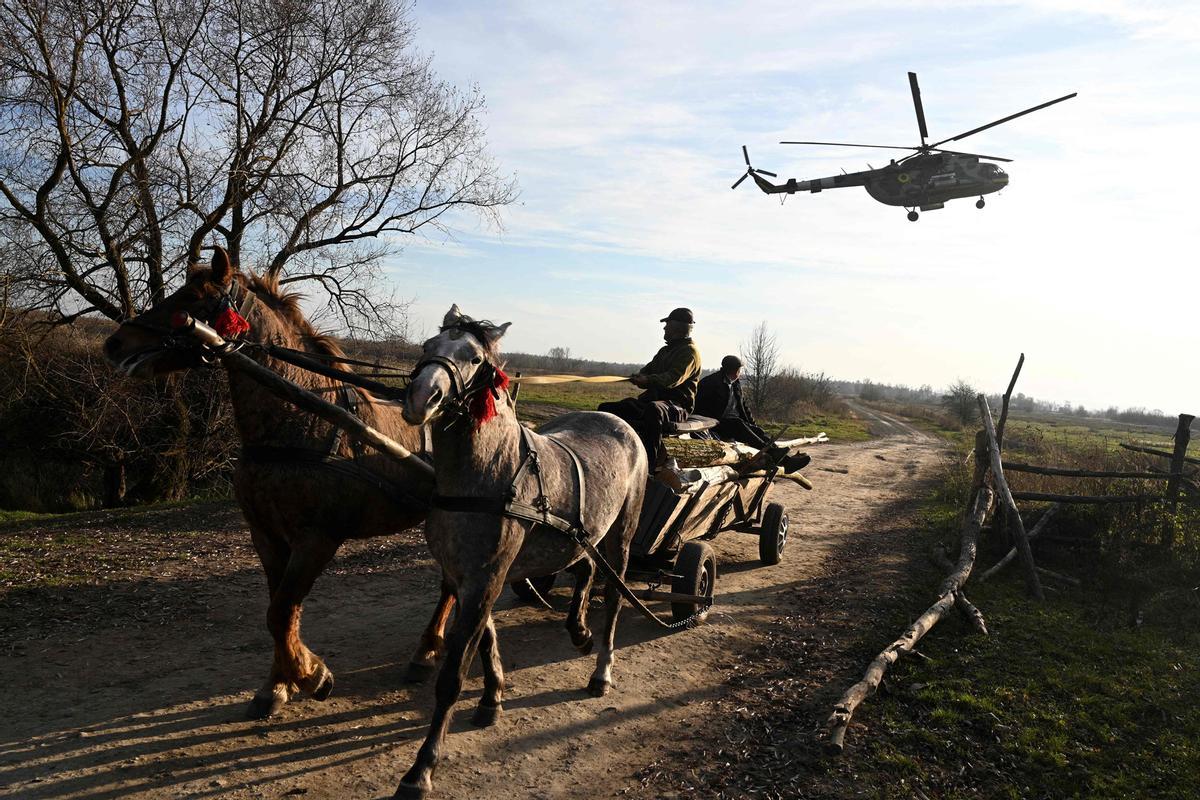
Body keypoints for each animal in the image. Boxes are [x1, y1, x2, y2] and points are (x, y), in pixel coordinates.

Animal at [102, 248, 457, 718]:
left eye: (193, 298)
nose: (115, 343)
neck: (302, 420)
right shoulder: (267, 536)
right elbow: (279, 612)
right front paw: (278, 684)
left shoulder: (317, 539)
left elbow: (282, 611)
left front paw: (312, 675)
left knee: (452, 580)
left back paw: (427, 650)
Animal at [395, 305, 648, 799]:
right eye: (427, 347)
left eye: (474, 358)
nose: (421, 398)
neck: (486, 475)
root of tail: (623, 424)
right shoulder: (468, 578)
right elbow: (488, 640)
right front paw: (492, 699)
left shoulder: (485, 578)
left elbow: (453, 677)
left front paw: (422, 769)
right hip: (579, 537)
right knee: (585, 571)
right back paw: (578, 632)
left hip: (621, 539)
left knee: (613, 597)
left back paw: (601, 670)